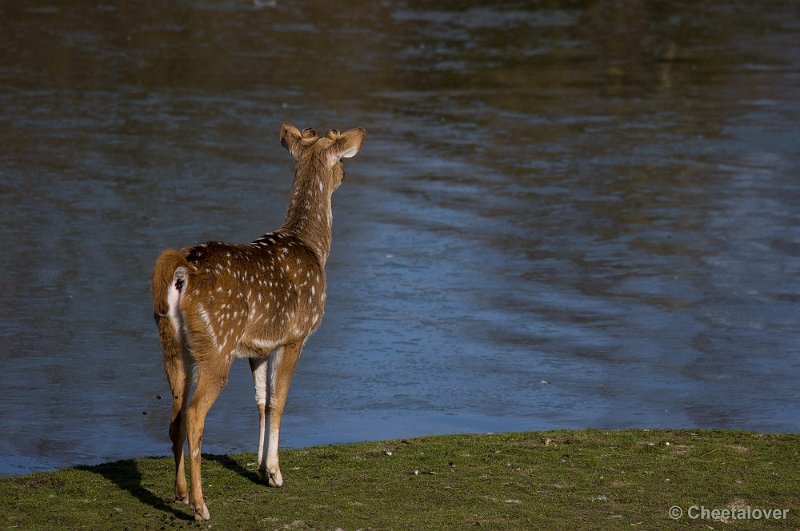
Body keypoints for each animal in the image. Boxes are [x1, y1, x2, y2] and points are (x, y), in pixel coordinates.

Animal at [150, 122, 366, 520]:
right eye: (343, 161)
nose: (344, 176)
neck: (313, 247)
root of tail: (182, 271)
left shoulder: (259, 346)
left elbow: (261, 402)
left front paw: (263, 470)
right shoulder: (295, 334)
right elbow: (279, 400)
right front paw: (276, 473)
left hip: (172, 346)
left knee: (175, 413)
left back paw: (181, 493)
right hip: (217, 346)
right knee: (193, 414)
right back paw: (201, 506)